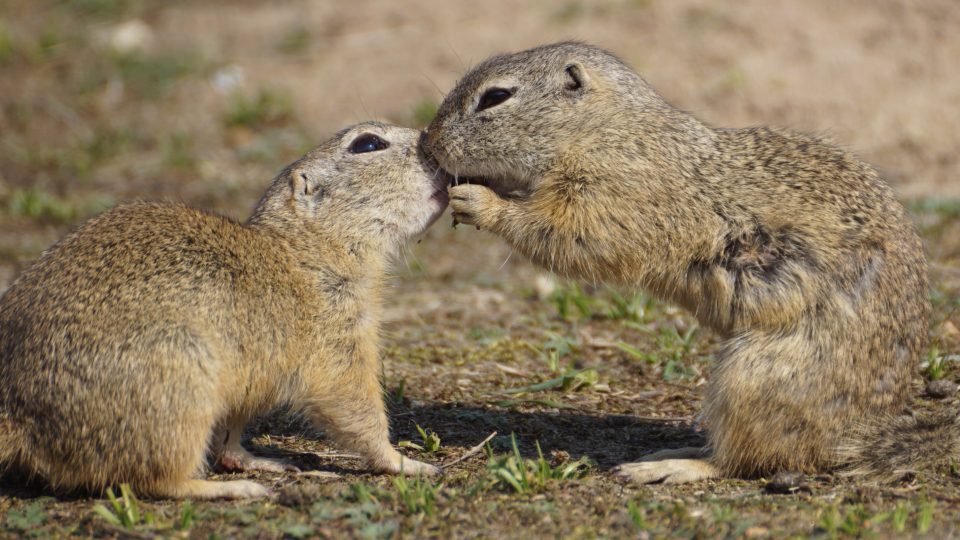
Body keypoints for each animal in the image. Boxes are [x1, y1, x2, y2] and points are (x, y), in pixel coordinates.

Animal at [0, 121, 446, 498]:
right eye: (368, 144)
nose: (430, 137)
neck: (305, 250)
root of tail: (20, 420)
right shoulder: (338, 341)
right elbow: (355, 407)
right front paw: (406, 462)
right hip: (179, 386)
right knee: (158, 481)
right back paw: (232, 490)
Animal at [424, 41, 956, 480]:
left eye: (495, 97)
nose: (429, 143)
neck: (604, 129)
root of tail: (861, 436)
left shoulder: (613, 196)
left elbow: (571, 236)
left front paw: (478, 201)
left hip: (752, 379)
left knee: (746, 461)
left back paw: (668, 467)